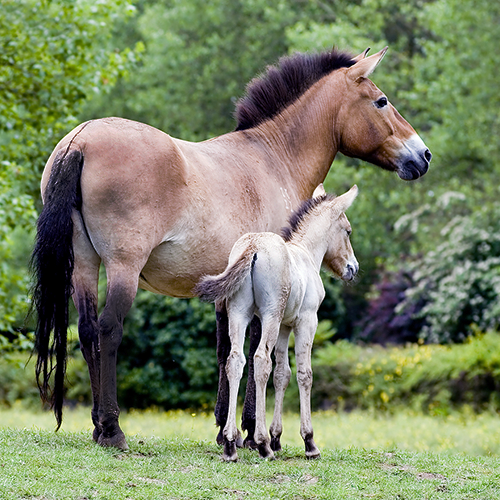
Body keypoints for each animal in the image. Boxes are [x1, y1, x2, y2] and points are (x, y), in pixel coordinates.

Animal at [195, 184, 360, 460]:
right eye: (347, 230)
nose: (353, 268)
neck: (305, 253)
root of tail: (252, 246)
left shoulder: (284, 326)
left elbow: (282, 374)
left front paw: (277, 437)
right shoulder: (306, 322)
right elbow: (304, 374)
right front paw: (308, 441)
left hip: (239, 314)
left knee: (235, 361)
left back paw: (230, 443)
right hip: (269, 315)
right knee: (260, 360)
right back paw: (261, 444)